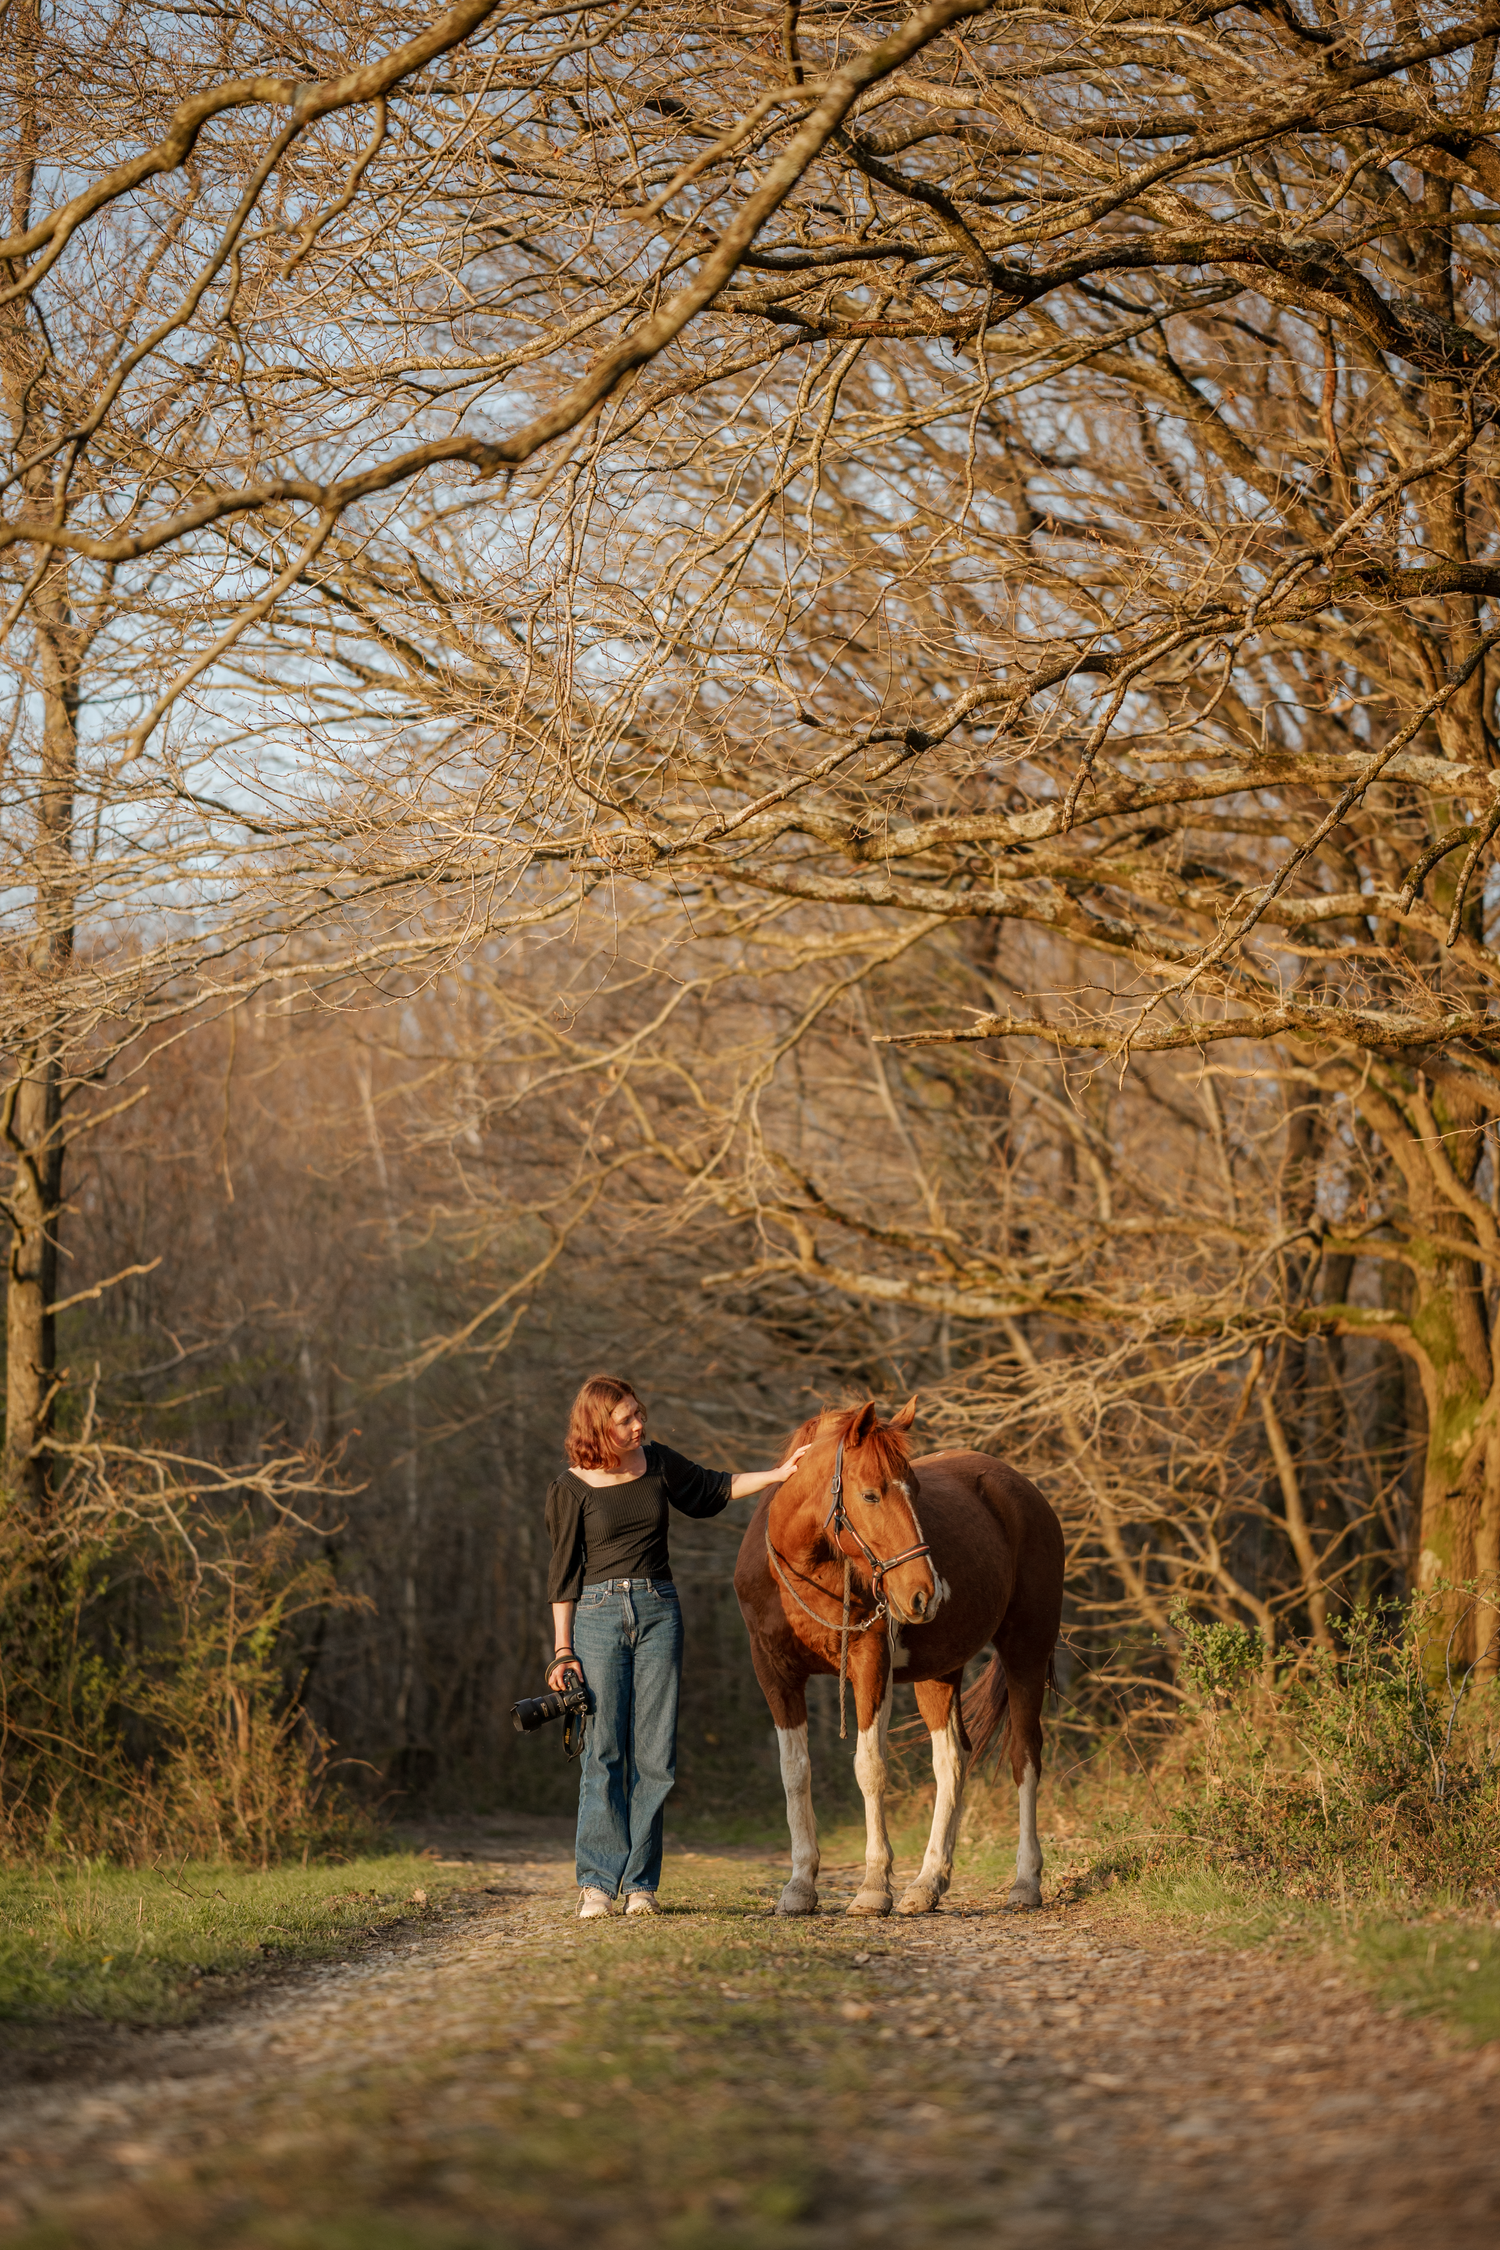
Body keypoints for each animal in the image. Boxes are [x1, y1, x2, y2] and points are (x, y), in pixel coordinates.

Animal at [733, 1398, 1064, 1917]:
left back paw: (1025, 1882)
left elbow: (869, 1768)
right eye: (870, 1495)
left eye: (916, 1491)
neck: (806, 1568)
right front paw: (800, 1885)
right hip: (940, 1671)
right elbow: (795, 1772)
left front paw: (872, 1886)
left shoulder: (870, 1663)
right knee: (951, 1762)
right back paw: (928, 1883)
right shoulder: (775, 1673)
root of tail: (1023, 1489)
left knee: (1024, 1756)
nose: (925, 1592)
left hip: (1026, 1650)